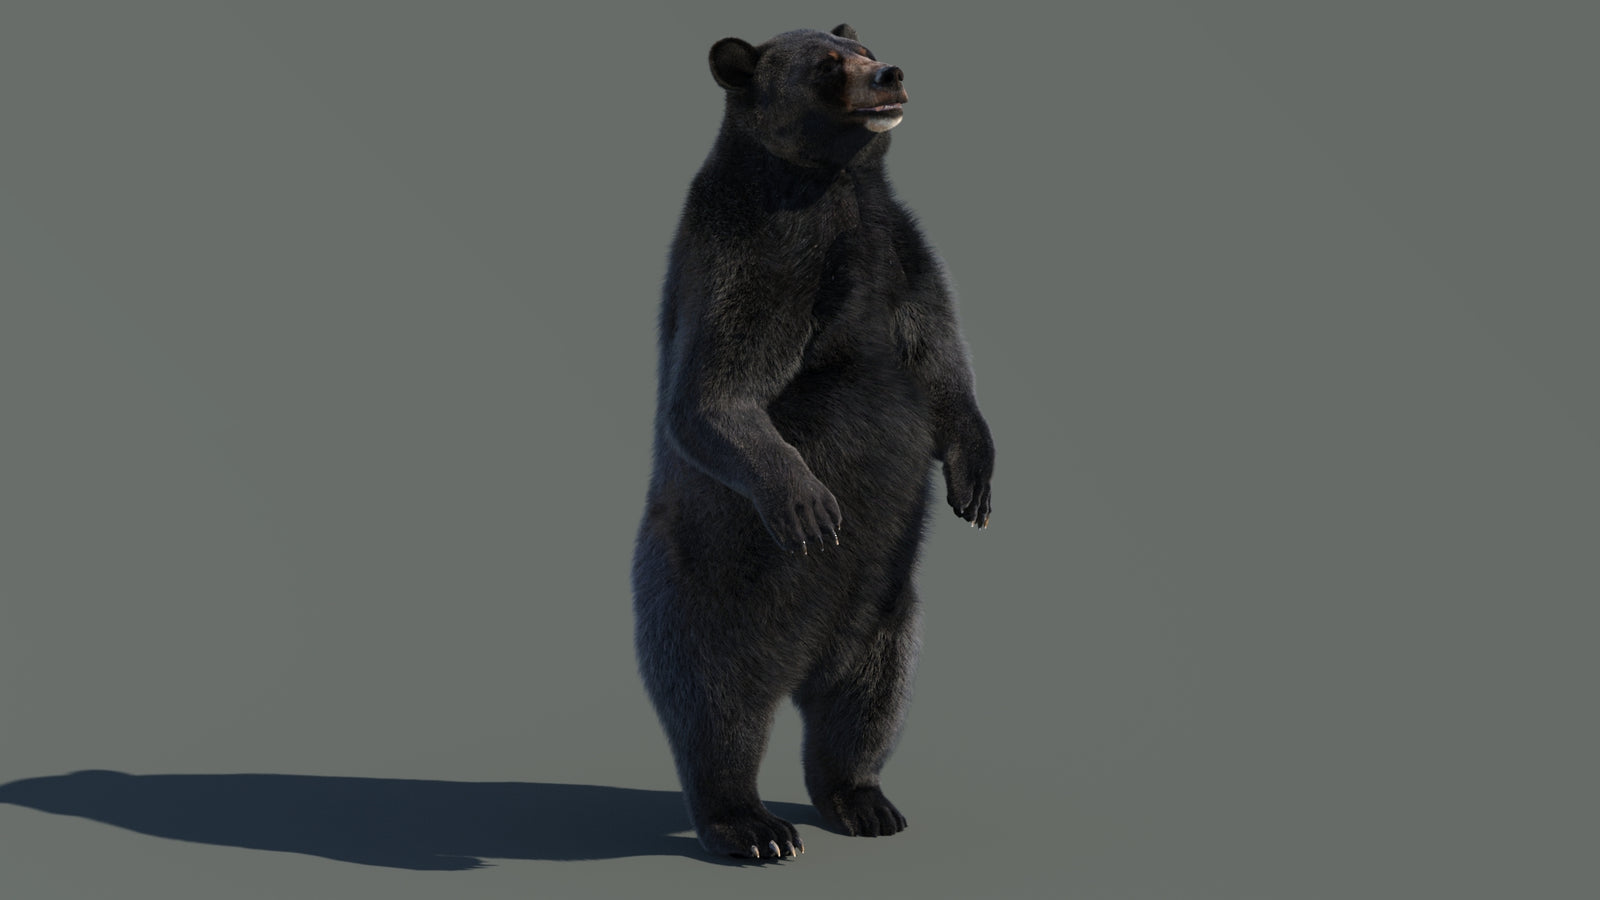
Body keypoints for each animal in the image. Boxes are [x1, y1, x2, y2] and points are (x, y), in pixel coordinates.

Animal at [631, 23, 995, 861]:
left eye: (863, 47)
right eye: (829, 66)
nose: (890, 72)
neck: (833, 186)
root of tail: (801, 662)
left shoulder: (900, 250)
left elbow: (941, 362)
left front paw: (975, 481)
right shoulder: (760, 250)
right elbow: (715, 392)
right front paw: (810, 504)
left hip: (888, 610)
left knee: (867, 698)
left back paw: (864, 800)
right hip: (709, 590)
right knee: (717, 703)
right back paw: (752, 825)